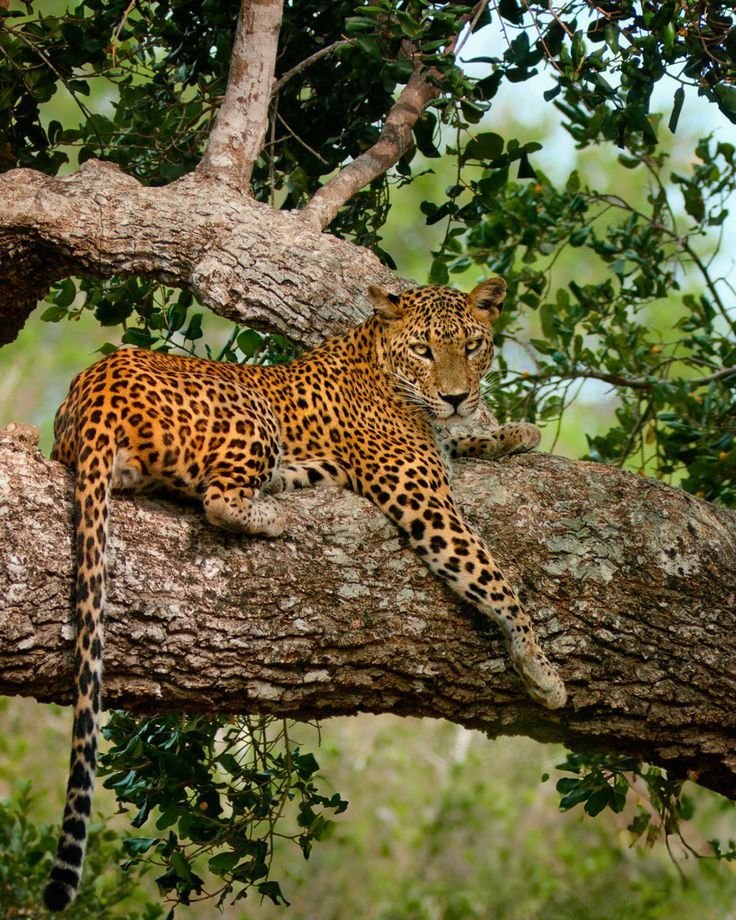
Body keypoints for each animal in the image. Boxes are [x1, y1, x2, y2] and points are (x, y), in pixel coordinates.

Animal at [44, 277, 566, 911]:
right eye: (423, 351)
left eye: (472, 346)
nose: (458, 397)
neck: (379, 357)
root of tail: (95, 388)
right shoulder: (425, 501)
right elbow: (495, 580)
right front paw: (541, 670)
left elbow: (467, 443)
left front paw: (513, 431)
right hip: (253, 418)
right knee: (218, 498)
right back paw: (275, 513)